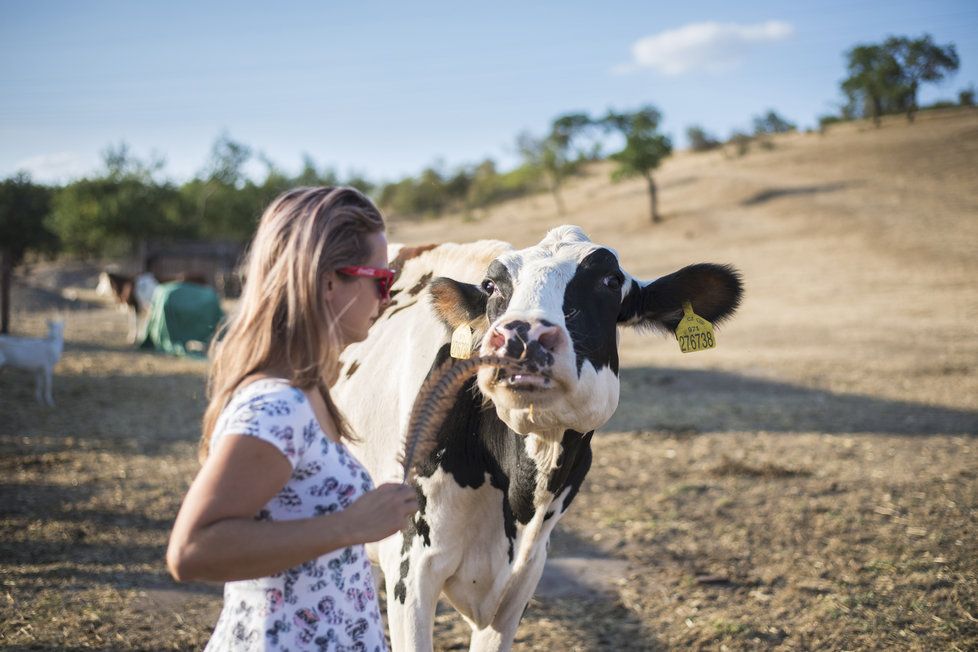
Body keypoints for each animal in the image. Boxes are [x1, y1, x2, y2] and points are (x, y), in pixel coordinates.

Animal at [336, 227, 740, 648]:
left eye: (610, 281)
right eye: (491, 285)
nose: (522, 334)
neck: (521, 487)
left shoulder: (522, 577)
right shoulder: (410, 565)